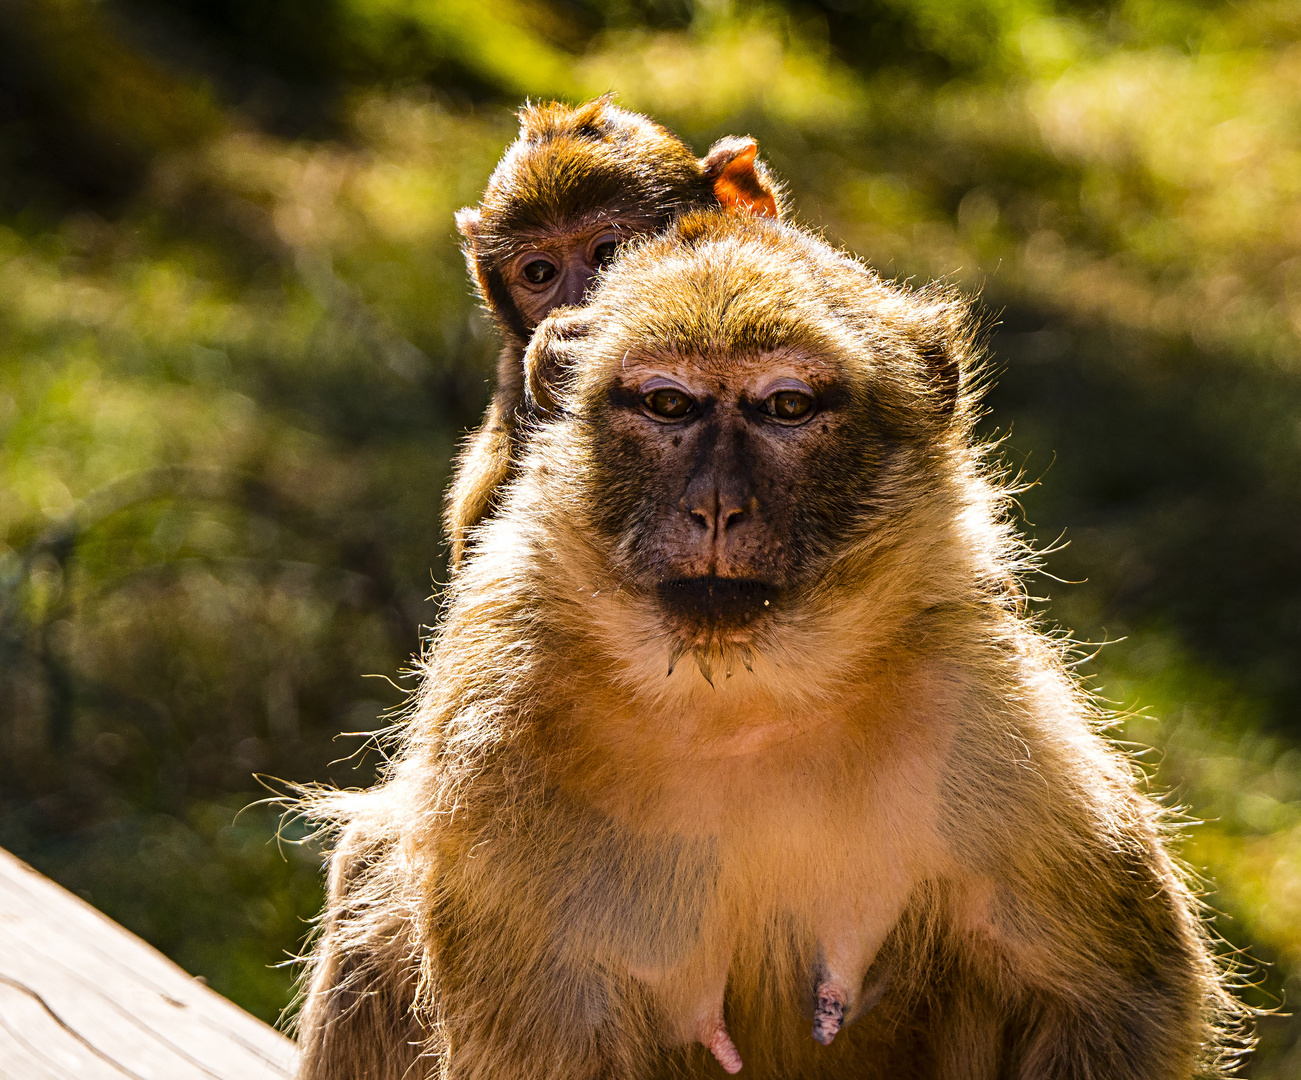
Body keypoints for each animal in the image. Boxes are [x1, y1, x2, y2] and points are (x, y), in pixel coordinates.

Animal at [299, 213, 1243, 1080]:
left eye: (785, 408)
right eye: (668, 404)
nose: (717, 506)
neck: (736, 699)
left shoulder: (983, 717)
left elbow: (1114, 996)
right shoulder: (498, 729)